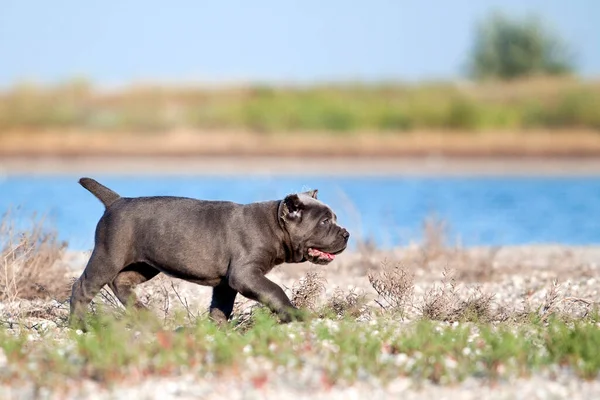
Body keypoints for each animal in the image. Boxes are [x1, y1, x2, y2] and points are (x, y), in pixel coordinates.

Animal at [70, 177, 350, 324]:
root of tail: (116, 201)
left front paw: (217, 329)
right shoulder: (245, 274)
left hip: (144, 265)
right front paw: (293, 314)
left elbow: (220, 307)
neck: (273, 225)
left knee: (121, 282)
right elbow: (274, 290)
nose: (346, 234)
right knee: (82, 287)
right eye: (324, 222)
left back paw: (142, 313)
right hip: (108, 255)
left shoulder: (226, 283)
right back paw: (80, 325)